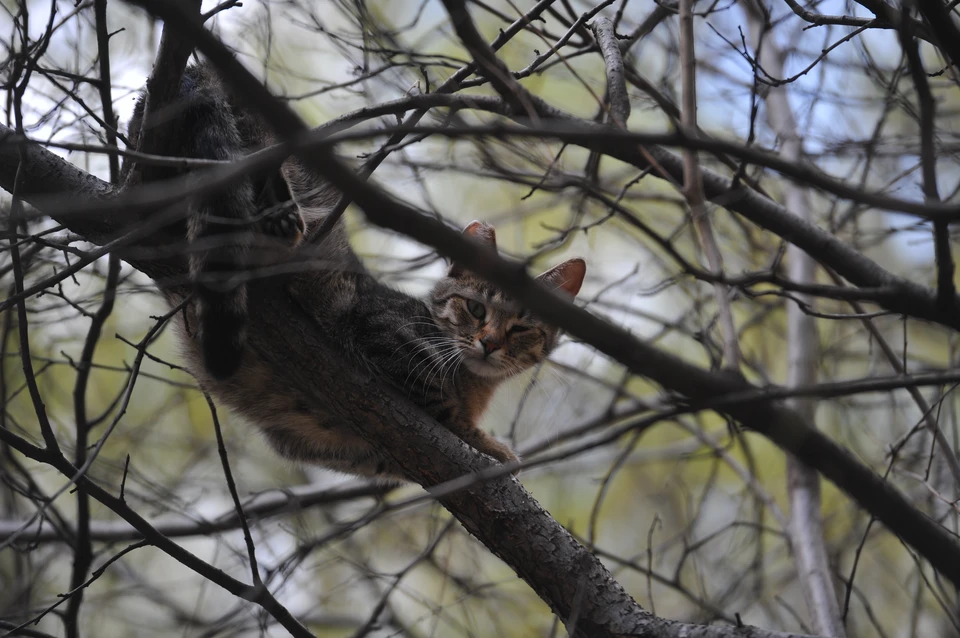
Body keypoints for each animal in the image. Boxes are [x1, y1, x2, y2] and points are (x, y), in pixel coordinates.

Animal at [126, 62, 584, 480]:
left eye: (521, 328)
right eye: (475, 310)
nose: (489, 343)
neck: (476, 386)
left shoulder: (329, 447)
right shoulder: (385, 332)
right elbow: (444, 409)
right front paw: (494, 448)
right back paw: (281, 217)